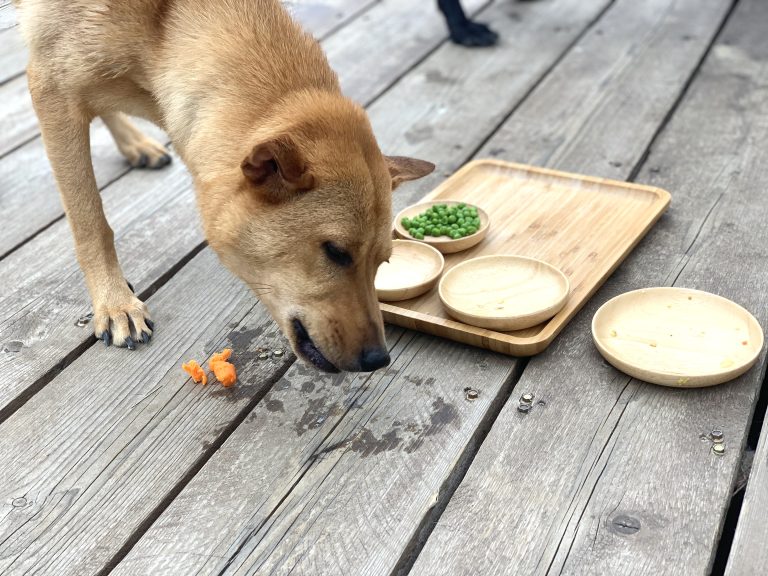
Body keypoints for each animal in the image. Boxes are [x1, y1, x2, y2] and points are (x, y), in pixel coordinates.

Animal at [18, 1, 436, 374]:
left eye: (382, 263)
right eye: (335, 252)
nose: (379, 360)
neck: (164, 27)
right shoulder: (52, 91)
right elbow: (90, 219)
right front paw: (114, 300)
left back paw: (135, 143)